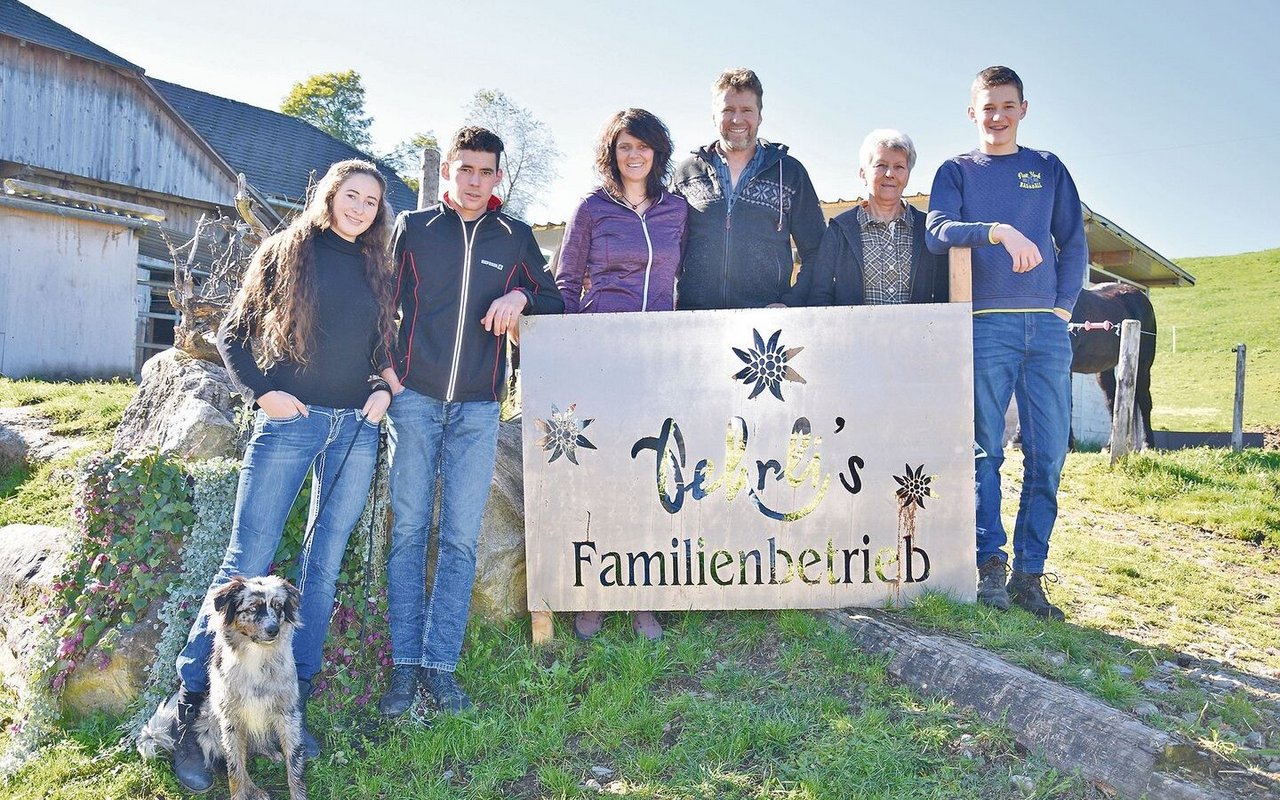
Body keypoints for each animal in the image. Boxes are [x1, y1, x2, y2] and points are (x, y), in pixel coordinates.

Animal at [1070, 280, 1162, 445]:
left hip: (1143, 366)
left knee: (1145, 402)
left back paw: (1147, 444)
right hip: (1105, 369)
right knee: (1112, 402)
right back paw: (1109, 445)